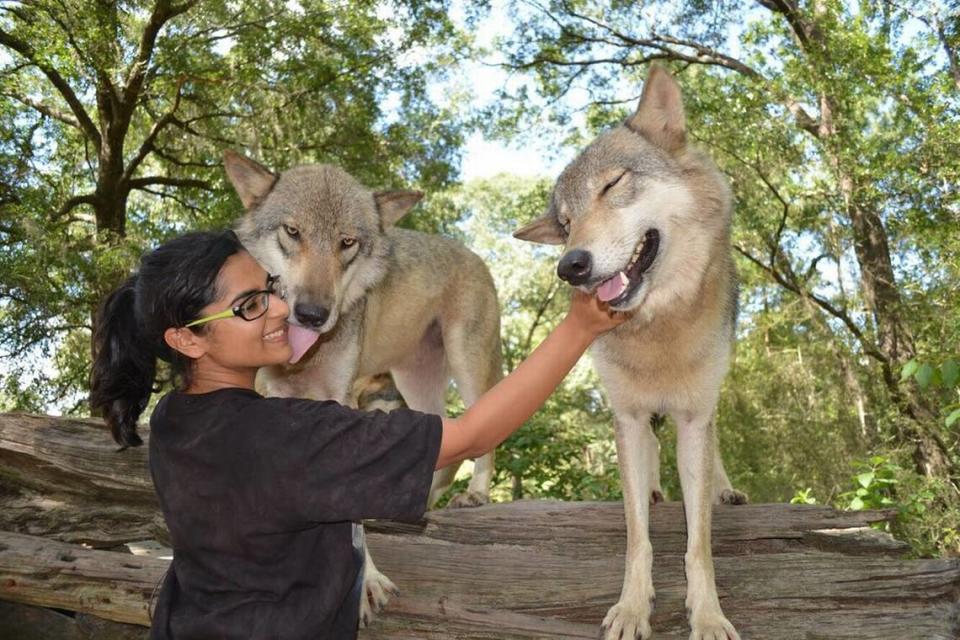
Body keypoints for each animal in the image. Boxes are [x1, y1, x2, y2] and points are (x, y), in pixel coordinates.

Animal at [223, 152, 502, 628]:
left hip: (466, 365)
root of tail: (475, 256)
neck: (303, 356)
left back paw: (477, 495)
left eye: (347, 242)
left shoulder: (340, 401)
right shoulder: (266, 397)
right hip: (415, 382)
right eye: (293, 232)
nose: (312, 314)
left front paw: (365, 583)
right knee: (446, 435)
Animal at [512, 66, 748, 640]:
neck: (656, 326)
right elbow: (637, 535)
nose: (570, 266)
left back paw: (723, 490)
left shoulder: (694, 418)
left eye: (613, 184)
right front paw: (632, 608)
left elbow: (698, 544)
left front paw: (708, 615)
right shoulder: (629, 418)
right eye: (565, 223)